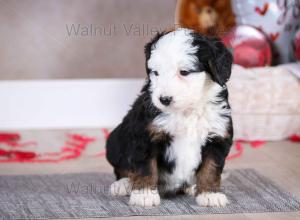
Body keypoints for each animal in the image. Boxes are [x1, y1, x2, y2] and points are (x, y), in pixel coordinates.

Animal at [106, 28, 233, 207]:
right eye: (156, 73)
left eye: (184, 72)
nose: (164, 99)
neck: (188, 110)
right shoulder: (145, 134)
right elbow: (145, 167)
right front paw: (144, 194)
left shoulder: (218, 135)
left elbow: (211, 168)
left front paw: (209, 194)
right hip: (114, 141)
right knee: (122, 168)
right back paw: (123, 184)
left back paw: (192, 186)